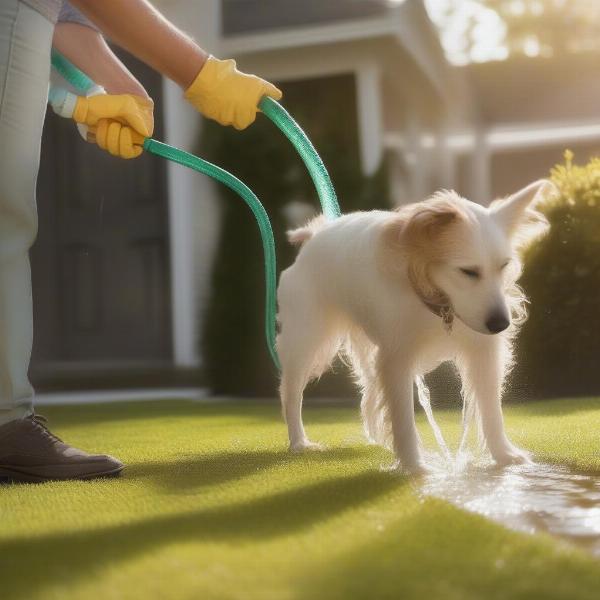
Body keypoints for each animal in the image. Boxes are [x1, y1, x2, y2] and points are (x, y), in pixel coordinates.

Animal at [276, 179, 552, 474]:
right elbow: (403, 416)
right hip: (305, 342)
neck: (440, 304)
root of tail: (314, 236)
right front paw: (414, 465)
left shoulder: (483, 351)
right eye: (468, 272)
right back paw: (299, 441)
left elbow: (491, 409)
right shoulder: (396, 357)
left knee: (369, 393)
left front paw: (504, 454)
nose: (500, 324)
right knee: (291, 394)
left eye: (504, 266)